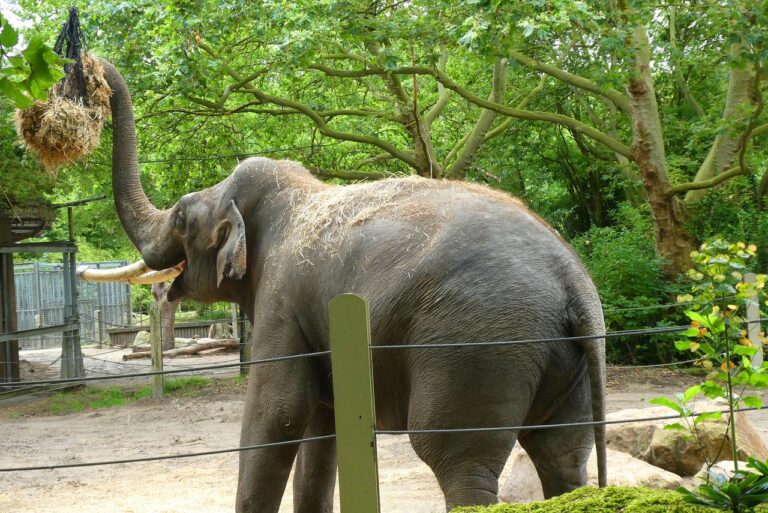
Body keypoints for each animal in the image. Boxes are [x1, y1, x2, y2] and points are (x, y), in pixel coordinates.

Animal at [99, 59, 606, 512]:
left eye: (182, 220)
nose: (94, 68)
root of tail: (574, 282)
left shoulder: (281, 301)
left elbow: (277, 414)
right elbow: (322, 424)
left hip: (478, 345)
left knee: (458, 459)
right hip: (565, 360)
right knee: (563, 453)